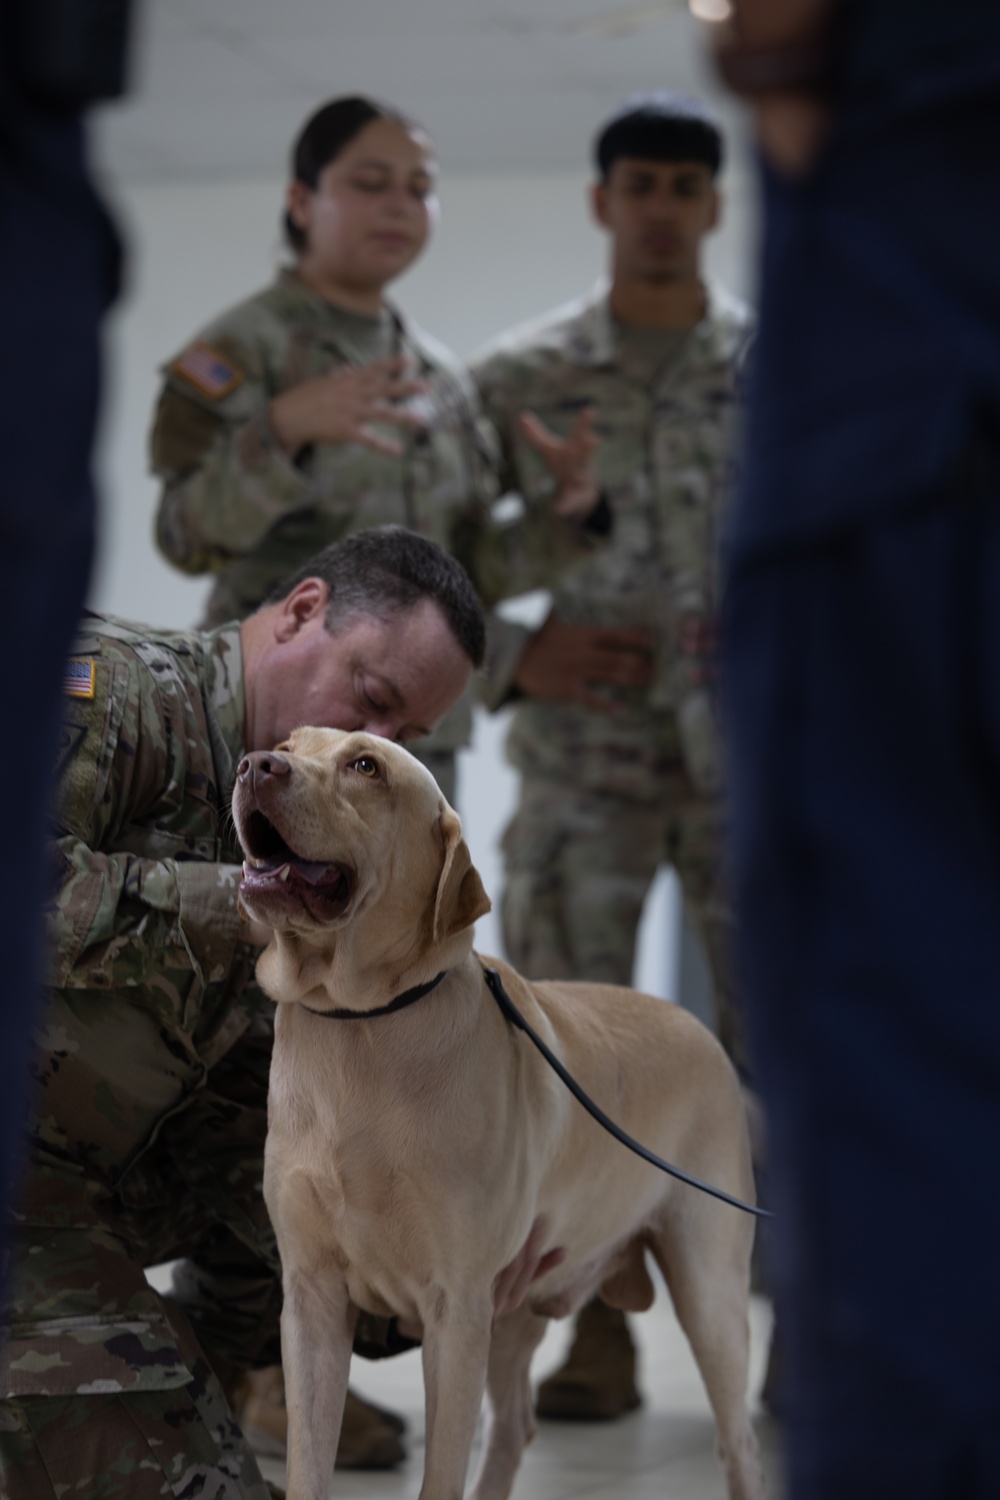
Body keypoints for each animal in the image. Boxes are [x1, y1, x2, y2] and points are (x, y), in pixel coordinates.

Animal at [235, 726, 767, 1500]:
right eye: (290, 743)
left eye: (366, 766)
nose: (254, 764)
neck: (361, 1023)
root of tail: (696, 1025)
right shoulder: (311, 1296)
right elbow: (310, 1464)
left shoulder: (456, 1307)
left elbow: (441, 1475)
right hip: (515, 1307)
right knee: (515, 1427)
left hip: (709, 1288)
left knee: (739, 1443)